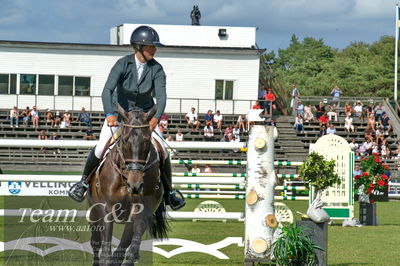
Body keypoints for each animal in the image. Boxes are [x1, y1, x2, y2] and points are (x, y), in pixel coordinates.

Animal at [86, 106, 168, 266]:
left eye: (147, 141)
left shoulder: (142, 210)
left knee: (123, 244)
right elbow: (105, 244)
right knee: (96, 242)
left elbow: (132, 242)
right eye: (124, 141)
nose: (135, 184)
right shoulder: (107, 208)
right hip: (94, 212)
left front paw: (130, 258)